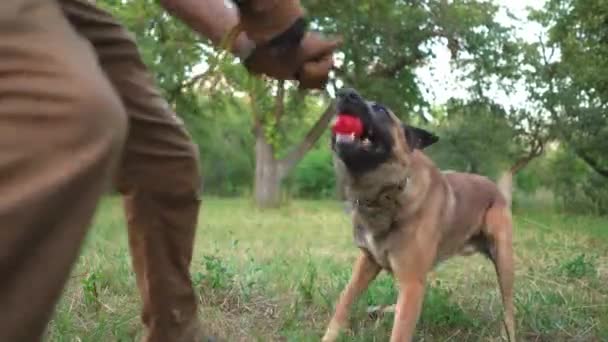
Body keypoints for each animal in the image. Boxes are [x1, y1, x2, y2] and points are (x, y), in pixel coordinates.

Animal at [320, 88, 516, 342]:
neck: (386, 193)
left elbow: (399, 332)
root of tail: (495, 188)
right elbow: (345, 300)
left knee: (509, 307)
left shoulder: (411, 283)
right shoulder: (367, 263)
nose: (345, 93)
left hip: (504, 261)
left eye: (381, 109)